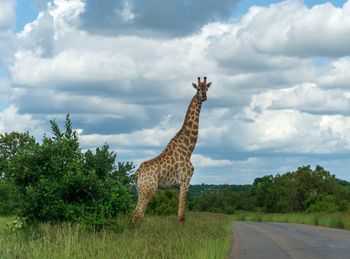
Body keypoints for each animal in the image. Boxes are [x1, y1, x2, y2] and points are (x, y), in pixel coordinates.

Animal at [133, 76, 212, 223]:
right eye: (198, 88)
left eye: (207, 88)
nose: (204, 96)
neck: (188, 149)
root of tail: (137, 173)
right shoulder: (185, 181)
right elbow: (181, 216)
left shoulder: (178, 185)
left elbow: (180, 214)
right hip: (148, 189)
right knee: (137, 214)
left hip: (140, 190)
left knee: (137, 214)